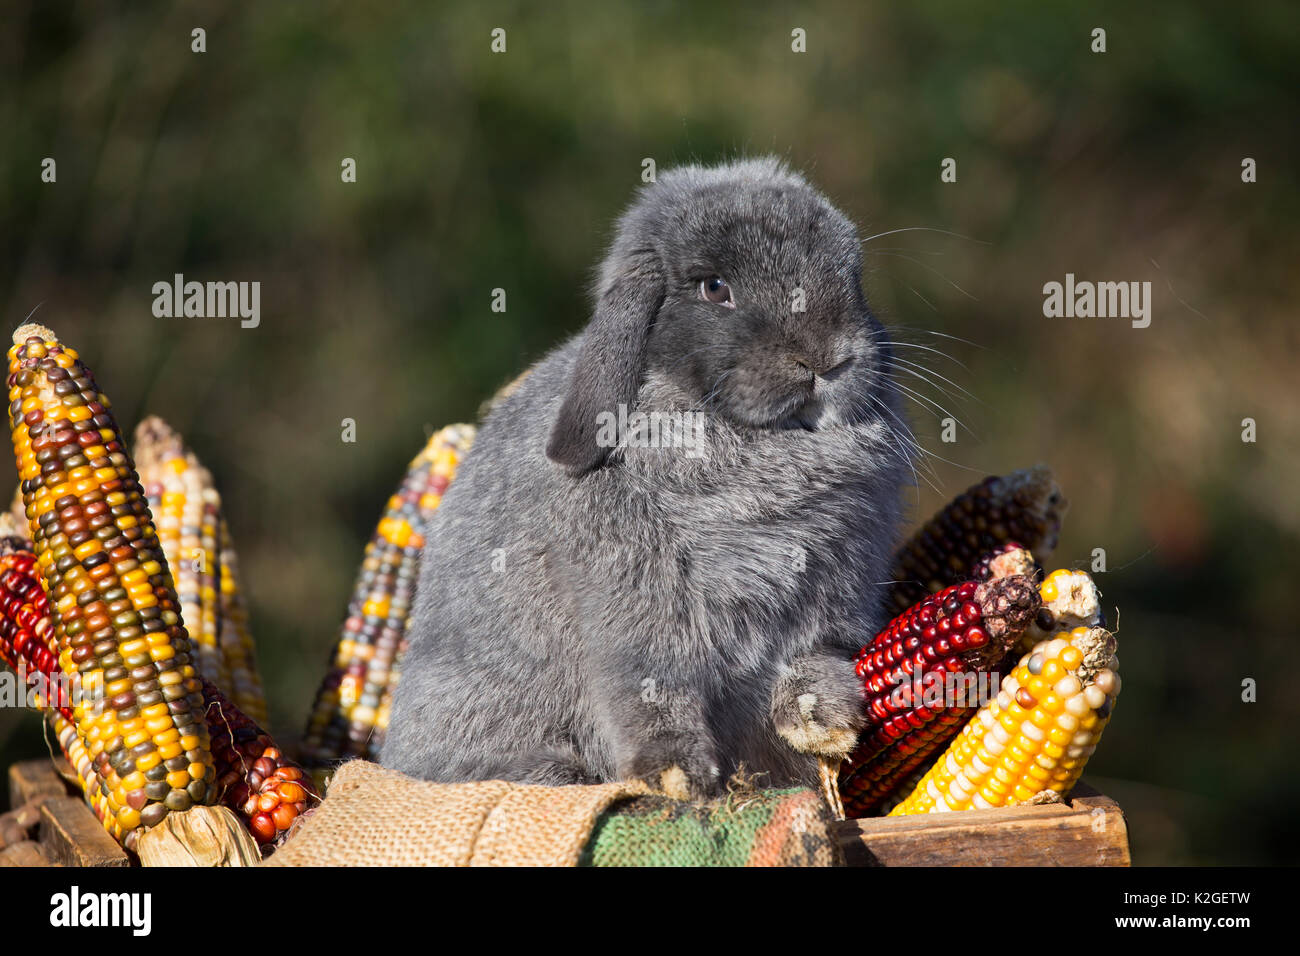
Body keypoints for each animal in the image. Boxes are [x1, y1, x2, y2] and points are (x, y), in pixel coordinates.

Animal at [381, 156, 910, 798]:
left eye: (851, 274)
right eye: (714, 288)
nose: (831, 359)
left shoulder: (829, 604)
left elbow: (815, 660)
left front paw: (825, 725)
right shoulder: (636, 615)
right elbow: (649, 691)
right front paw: (676, 778)